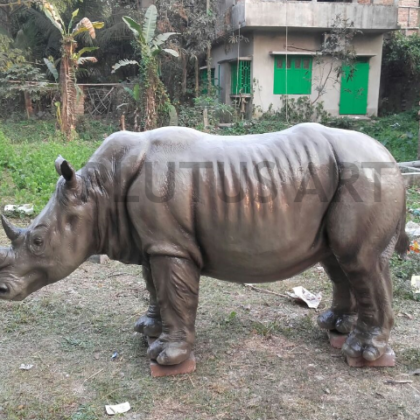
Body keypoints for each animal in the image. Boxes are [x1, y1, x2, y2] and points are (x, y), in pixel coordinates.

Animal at [0, 123, 408, 366]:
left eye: (38, 240)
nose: (3, 289)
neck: (99, 190)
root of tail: (390, 157)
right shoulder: (156, 242)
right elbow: (154, 286)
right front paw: (147, 330)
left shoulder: (172, 246)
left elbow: (174, 292)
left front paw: (167, 356)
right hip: (351, 177)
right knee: (339, 262)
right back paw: (334, 327)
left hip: (365, 178)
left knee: (360, 261)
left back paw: (363, 354)